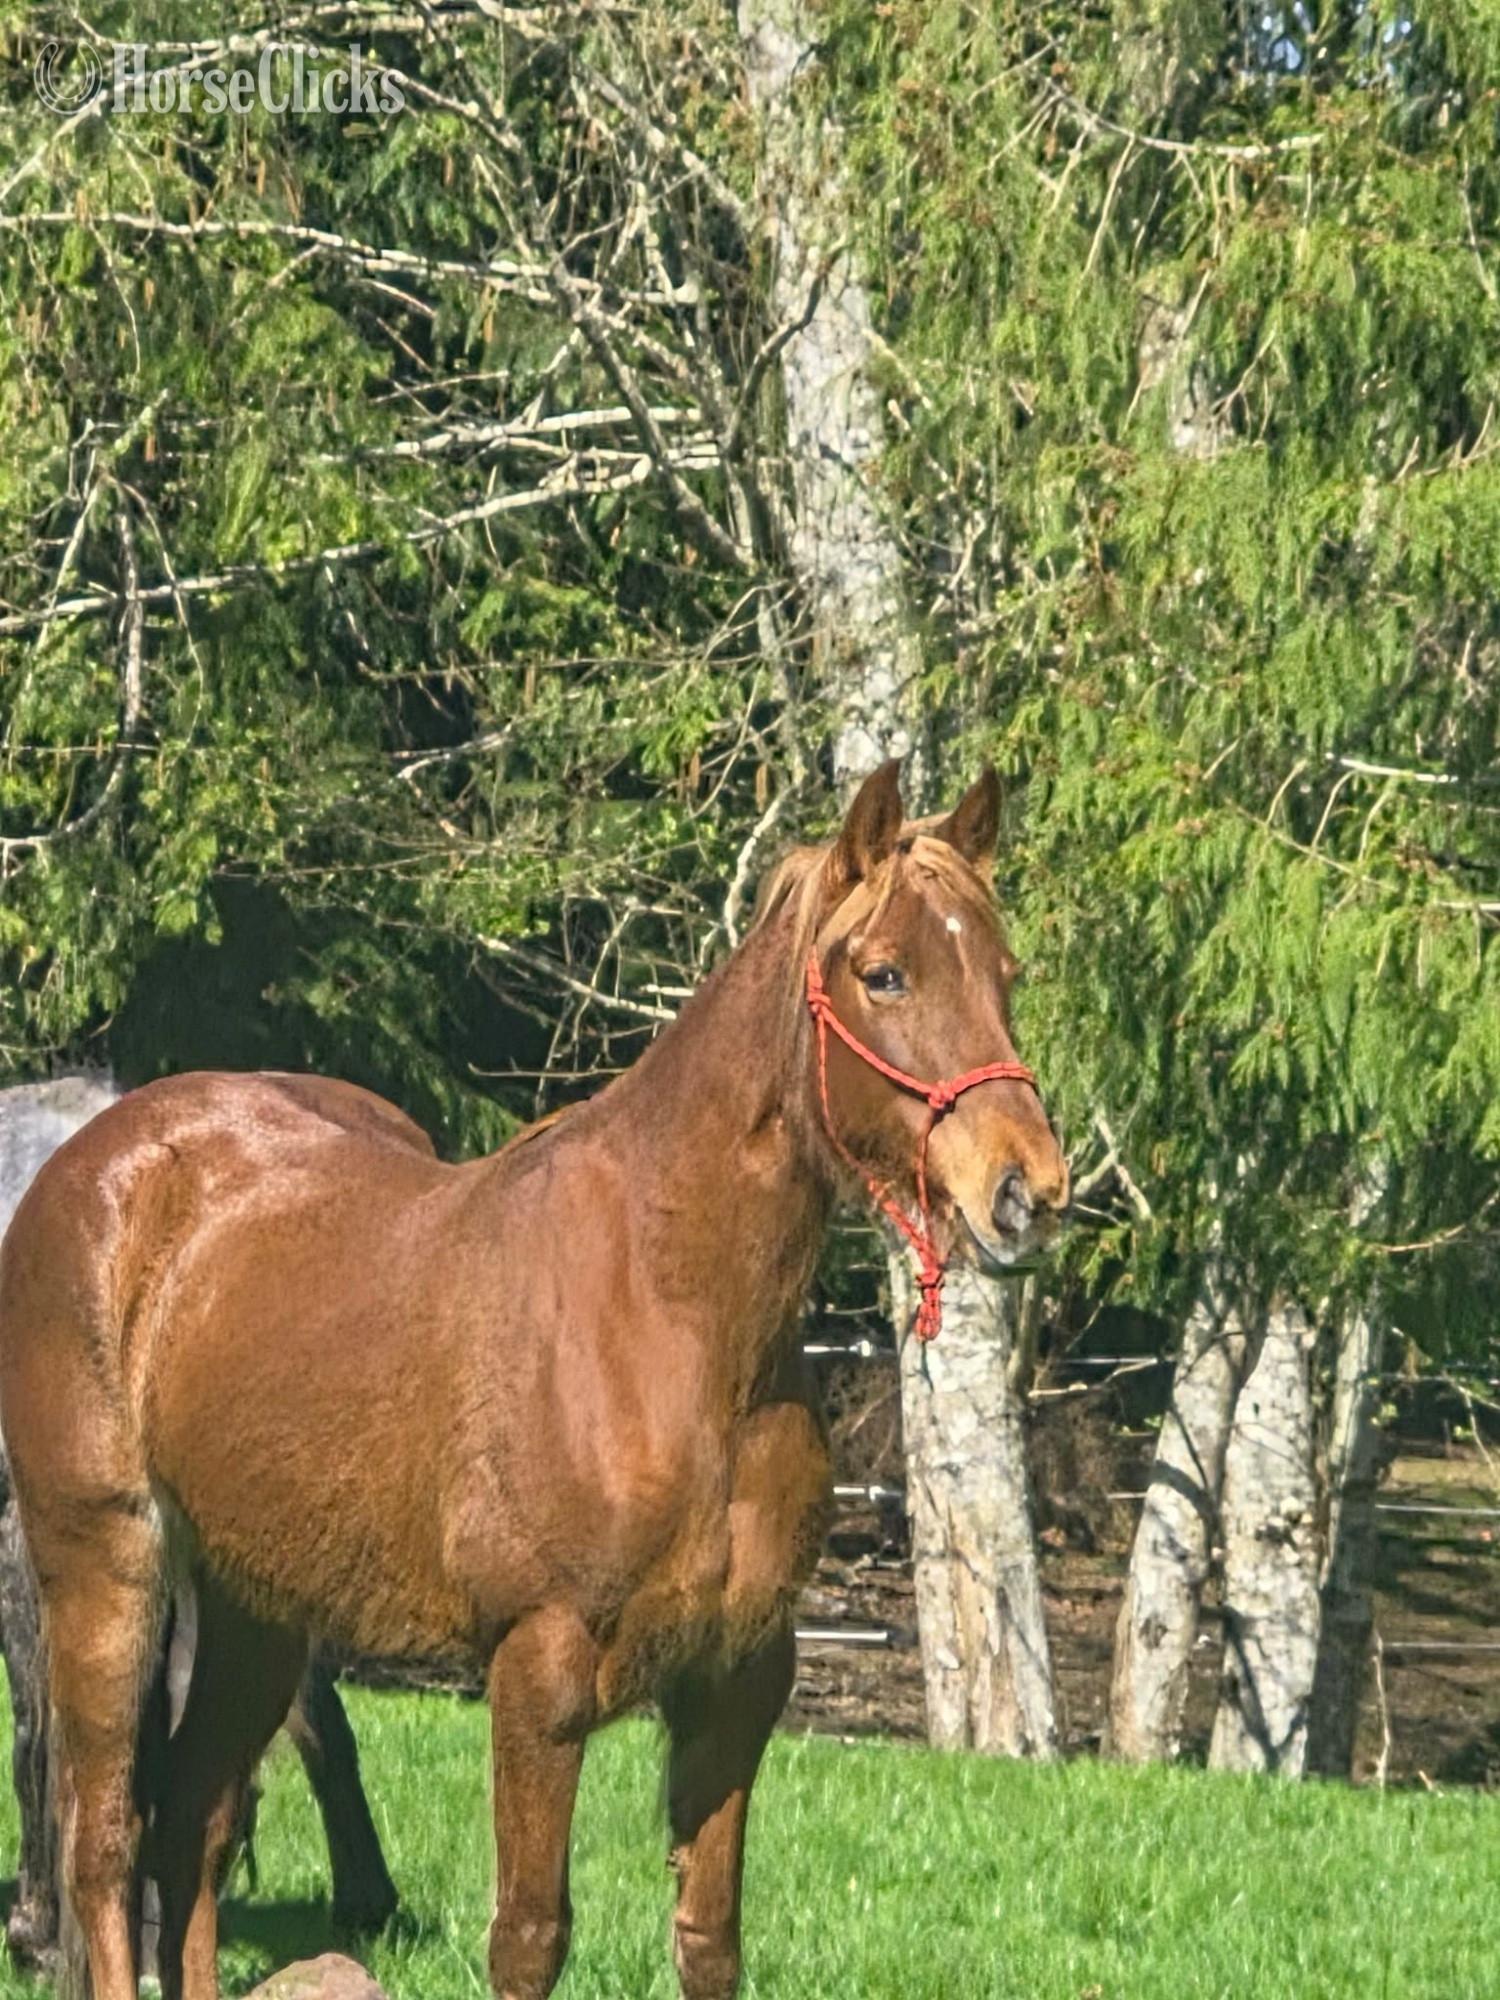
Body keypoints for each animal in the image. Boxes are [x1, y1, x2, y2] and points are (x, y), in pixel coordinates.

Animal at [0, 761, 1067, 2000]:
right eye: (885, 971)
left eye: (1006, 974)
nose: (1029, 1191)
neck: (671, 1318)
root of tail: (97, 1156)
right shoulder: (540, 1670)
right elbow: (529, 1935)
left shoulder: (739, 1679)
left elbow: (708, 1938)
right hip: (105, 1561)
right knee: (104, 1835)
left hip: (256, 1605)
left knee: (194, 1820)